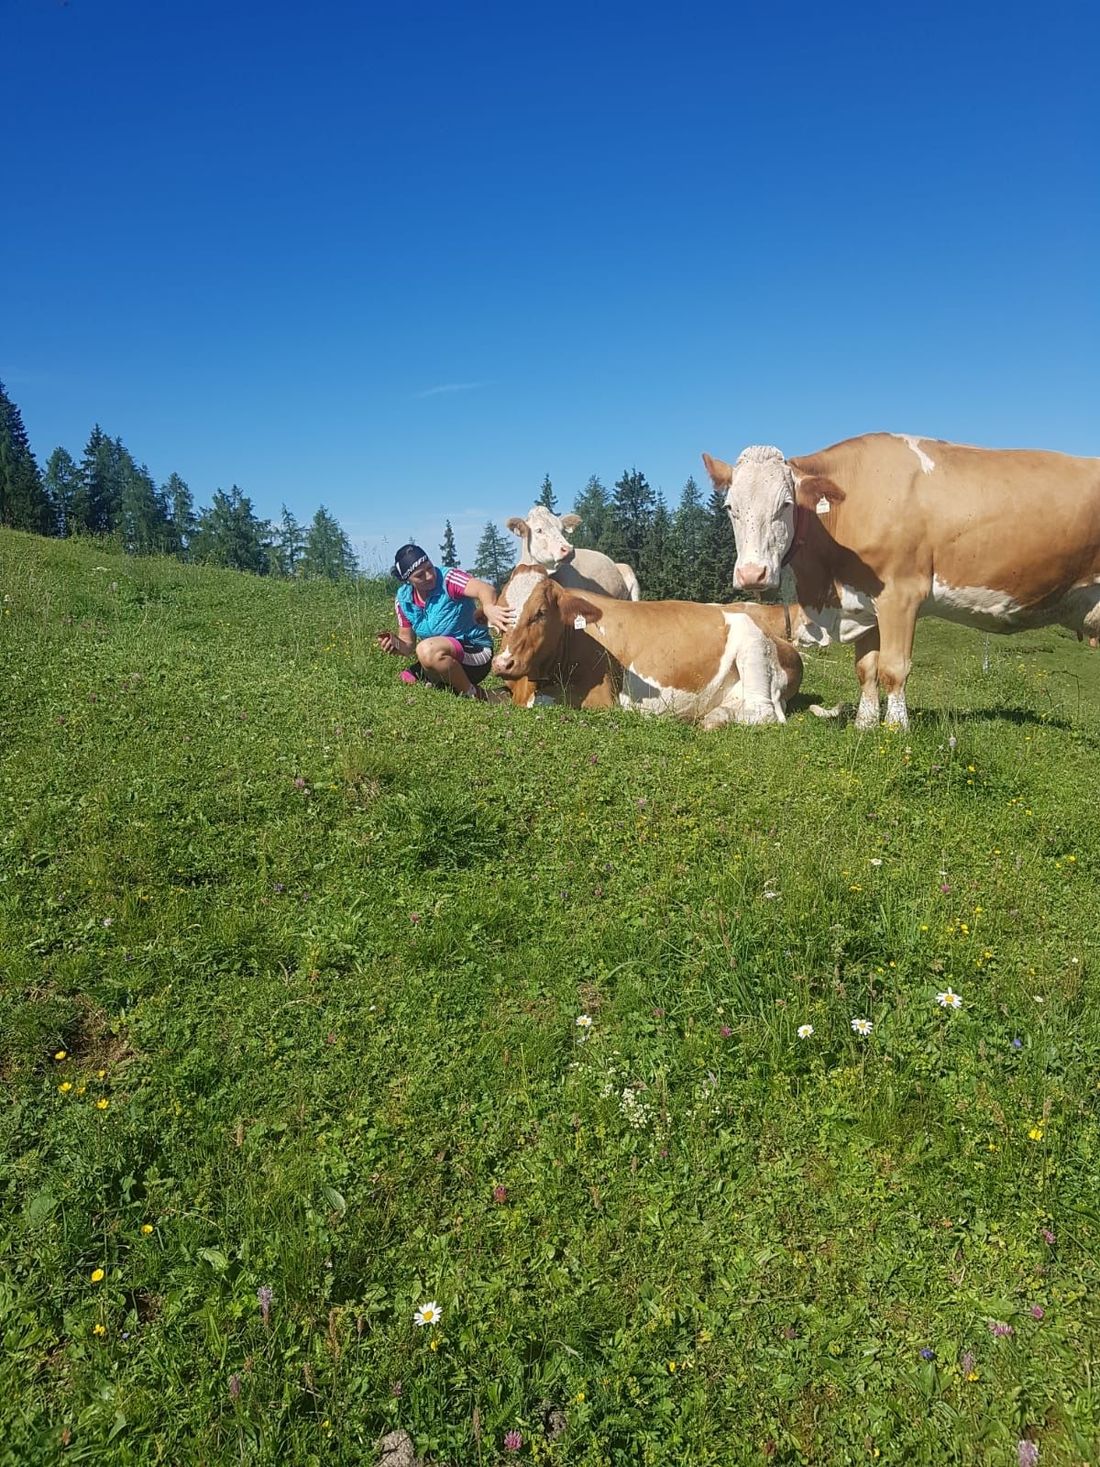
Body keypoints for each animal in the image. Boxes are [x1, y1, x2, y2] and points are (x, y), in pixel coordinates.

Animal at [492, 576, 802, 727]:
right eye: (500, 613)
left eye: (540, 613)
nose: (502, 663)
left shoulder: (602, 699)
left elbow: (540, 703)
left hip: (752, 646)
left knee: (765, 713)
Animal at [703, 434, 1100, 729]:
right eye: (729, 508)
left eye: (785, 504)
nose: (751, 574)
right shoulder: (863, 602)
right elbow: (866, 669)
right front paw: (864, 726)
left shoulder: (901, 595)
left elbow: (894, 668)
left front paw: (896, 728)